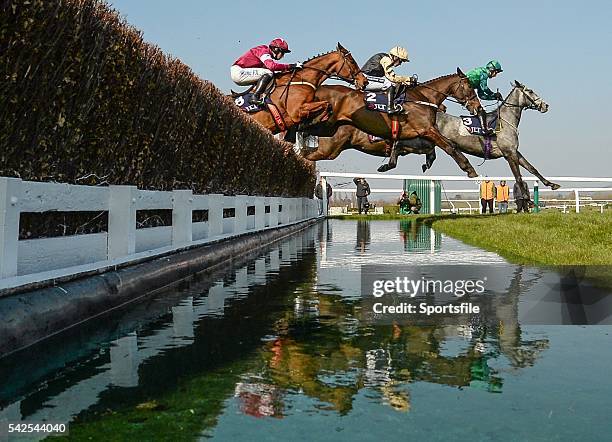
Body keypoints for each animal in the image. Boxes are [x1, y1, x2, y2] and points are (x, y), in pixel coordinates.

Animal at [234, 44, 368, 136]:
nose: (365, 81)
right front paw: (311, 123)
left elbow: (328, 105)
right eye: (352, 61)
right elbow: (326, 104)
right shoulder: (296, 111)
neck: (302, 79)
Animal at [304, 70, 482, 177]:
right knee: (306, 156)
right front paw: (469, 169)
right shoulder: (426, 130)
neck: (422, 99)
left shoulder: (413, 137)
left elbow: (431, 150)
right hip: (329, 148)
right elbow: (450, 146)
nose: (478, 107)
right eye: (469, 86)